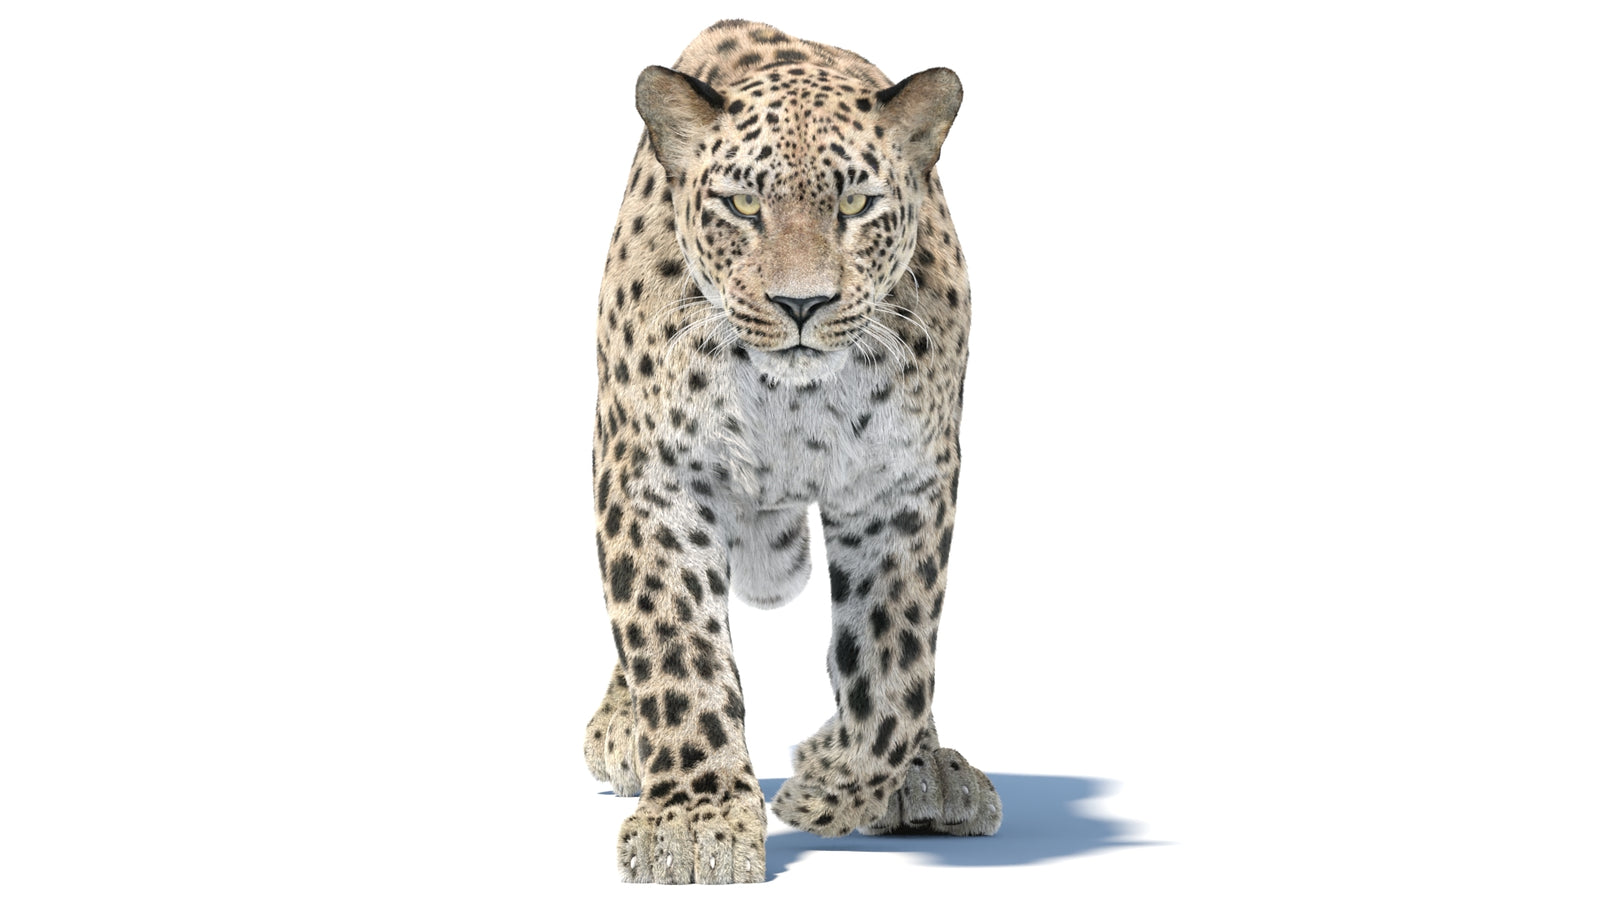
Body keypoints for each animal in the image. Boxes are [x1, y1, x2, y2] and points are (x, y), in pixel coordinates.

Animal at [582, 20, 1000, 884]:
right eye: (743, 204)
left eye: (856, 204)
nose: (801, 304)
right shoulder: (653, 476)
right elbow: (674, 643)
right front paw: (695, 822)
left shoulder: (902, 488)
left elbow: (895, 667)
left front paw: (830, 786)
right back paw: (622, 729)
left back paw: (932, 772)